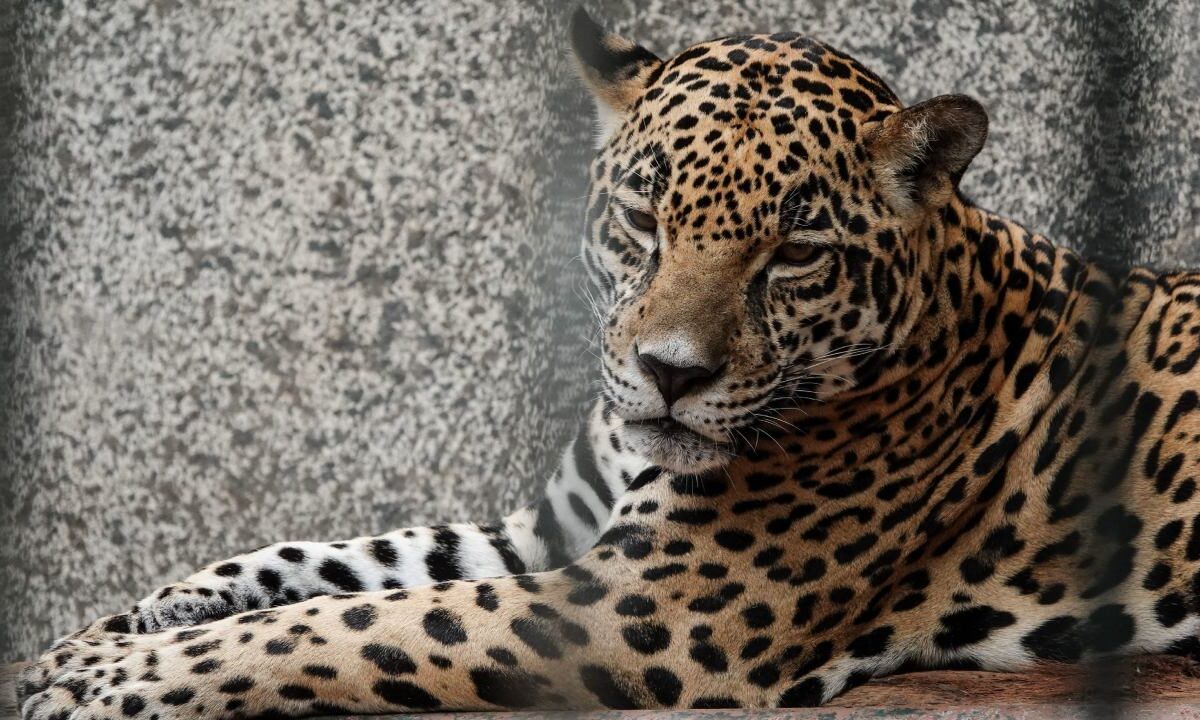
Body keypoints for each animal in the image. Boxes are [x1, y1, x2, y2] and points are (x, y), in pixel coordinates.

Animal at [17, 8, 1200, 718]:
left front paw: (101, 674)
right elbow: (335, 560)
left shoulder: (647, 602)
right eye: (642, 219)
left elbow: (342, 624)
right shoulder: (545, 534)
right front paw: (113, 625)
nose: (672, 375)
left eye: (796, 254)